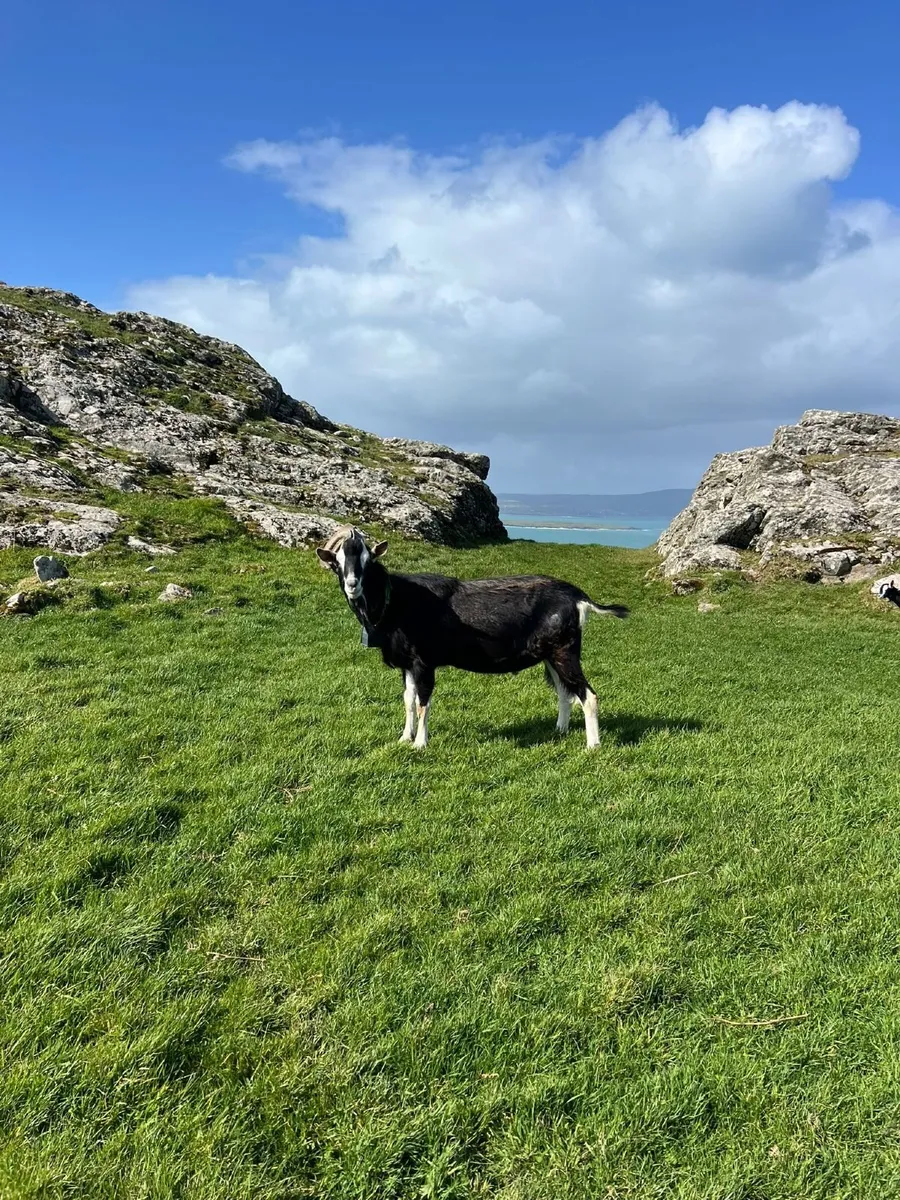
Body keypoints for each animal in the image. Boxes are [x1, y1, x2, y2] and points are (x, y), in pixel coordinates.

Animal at [316, 526, 628, 749]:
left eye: (368, 561)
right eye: (337, 563)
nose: (353, 584)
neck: (396, 600)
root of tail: (578, 596)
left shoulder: (423, 662)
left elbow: (423, 701)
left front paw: (420, 744)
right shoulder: (406, 664)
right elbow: (408, 699)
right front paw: (404, 738)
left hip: (565, 650)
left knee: (588, 695)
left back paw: (593, 746)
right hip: (551, 653)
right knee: (565, 692)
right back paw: (560, 731)